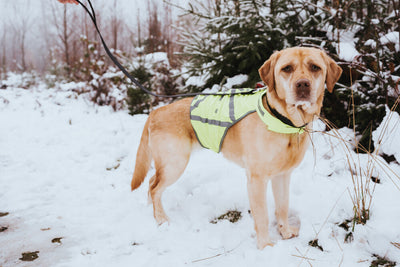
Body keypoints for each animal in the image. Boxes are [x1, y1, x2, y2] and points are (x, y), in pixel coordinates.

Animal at [130, 47, 340, 250]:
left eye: (315, 67)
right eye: (287, 68)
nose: (303, 85)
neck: (284, 121)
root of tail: (155, 111)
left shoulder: (282, 176)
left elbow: (282, 207)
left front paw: (285, 232)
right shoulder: (256, 179)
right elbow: (262, 216)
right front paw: (266, 246)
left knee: (151, 183)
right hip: (175, 163)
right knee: (154, 187)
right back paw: (161, 219)